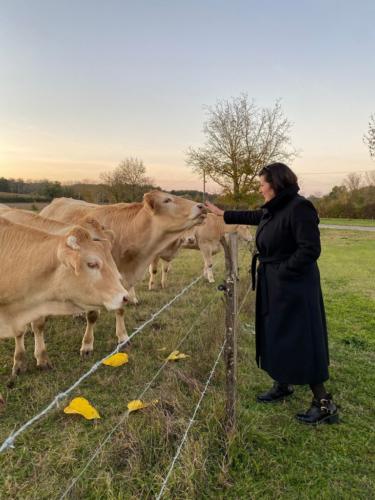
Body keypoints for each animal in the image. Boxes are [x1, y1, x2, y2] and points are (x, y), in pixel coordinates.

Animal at [39, 190, 207, 356]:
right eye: (167, 200)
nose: (202, 206)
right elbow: (92, 315)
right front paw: (87, 345)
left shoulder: (123, 282)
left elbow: (120, 309)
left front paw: (123, 338)